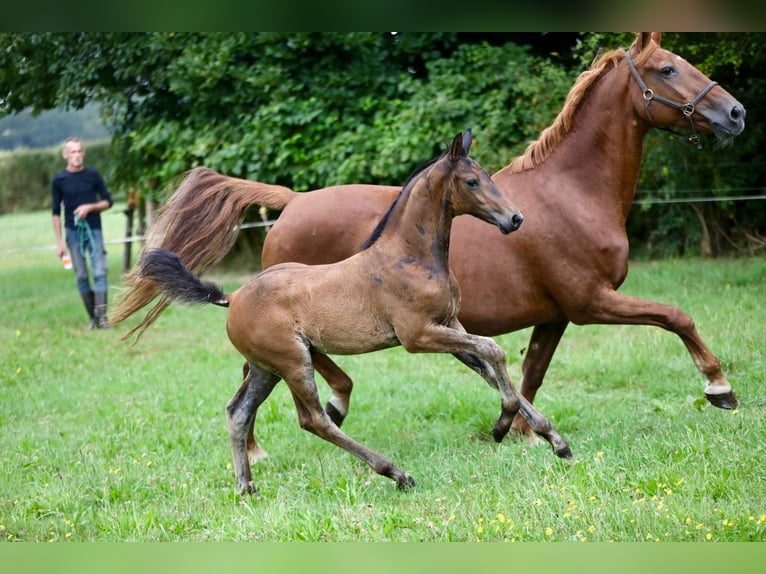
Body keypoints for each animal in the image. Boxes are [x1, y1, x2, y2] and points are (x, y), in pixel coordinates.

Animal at [114, 33, 752, 444]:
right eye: (668, 69)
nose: (736, 114)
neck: (571, 193)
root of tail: (292, 201)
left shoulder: (555, 316)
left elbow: (527, 373)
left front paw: (513, 429)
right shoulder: (592, 302)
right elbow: (676, 316)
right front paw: (719, 388)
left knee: (258, 382)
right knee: (284, 376)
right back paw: (316, 417)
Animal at [127, 132, 568, 496]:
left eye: (488, 176)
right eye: (472, 182)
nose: (515, 218)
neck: (409, 256)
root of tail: (232, 297)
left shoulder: (450, 325)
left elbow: (488, 368)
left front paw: (554, 440)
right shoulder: (419, 335)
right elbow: (494, 350)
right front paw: (502, 425)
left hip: (267, 367)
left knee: (237, 412)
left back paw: (246, 487)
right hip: (293, 361)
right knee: (314, 420)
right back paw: (396, 473)